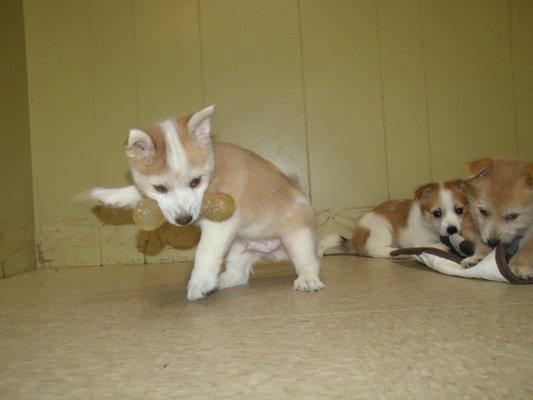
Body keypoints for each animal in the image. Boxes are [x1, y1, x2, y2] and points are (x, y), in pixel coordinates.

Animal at [90, 106, 324, 300]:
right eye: (159, 188)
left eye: (196, 182)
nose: (184, 220)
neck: (212, 176)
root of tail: (271, 251)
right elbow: (137, 191)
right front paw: (109, 195)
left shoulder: (219, 226)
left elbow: (205, 251)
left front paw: (199, 282)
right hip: (238, 249)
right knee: (239, 275)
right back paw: (220, 282)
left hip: (297, 240)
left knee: (310, 263)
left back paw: (308, 280)